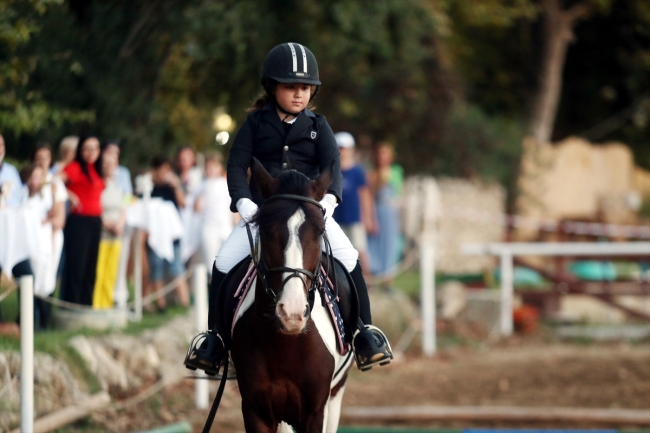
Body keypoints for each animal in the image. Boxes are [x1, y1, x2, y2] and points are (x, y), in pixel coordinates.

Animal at [228, 159, 354, 432]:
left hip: (336, 393)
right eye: (266, 230)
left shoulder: (316, 412)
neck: (284, 345)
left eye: (320, 232)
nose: (292, 313)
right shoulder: (255, 410)